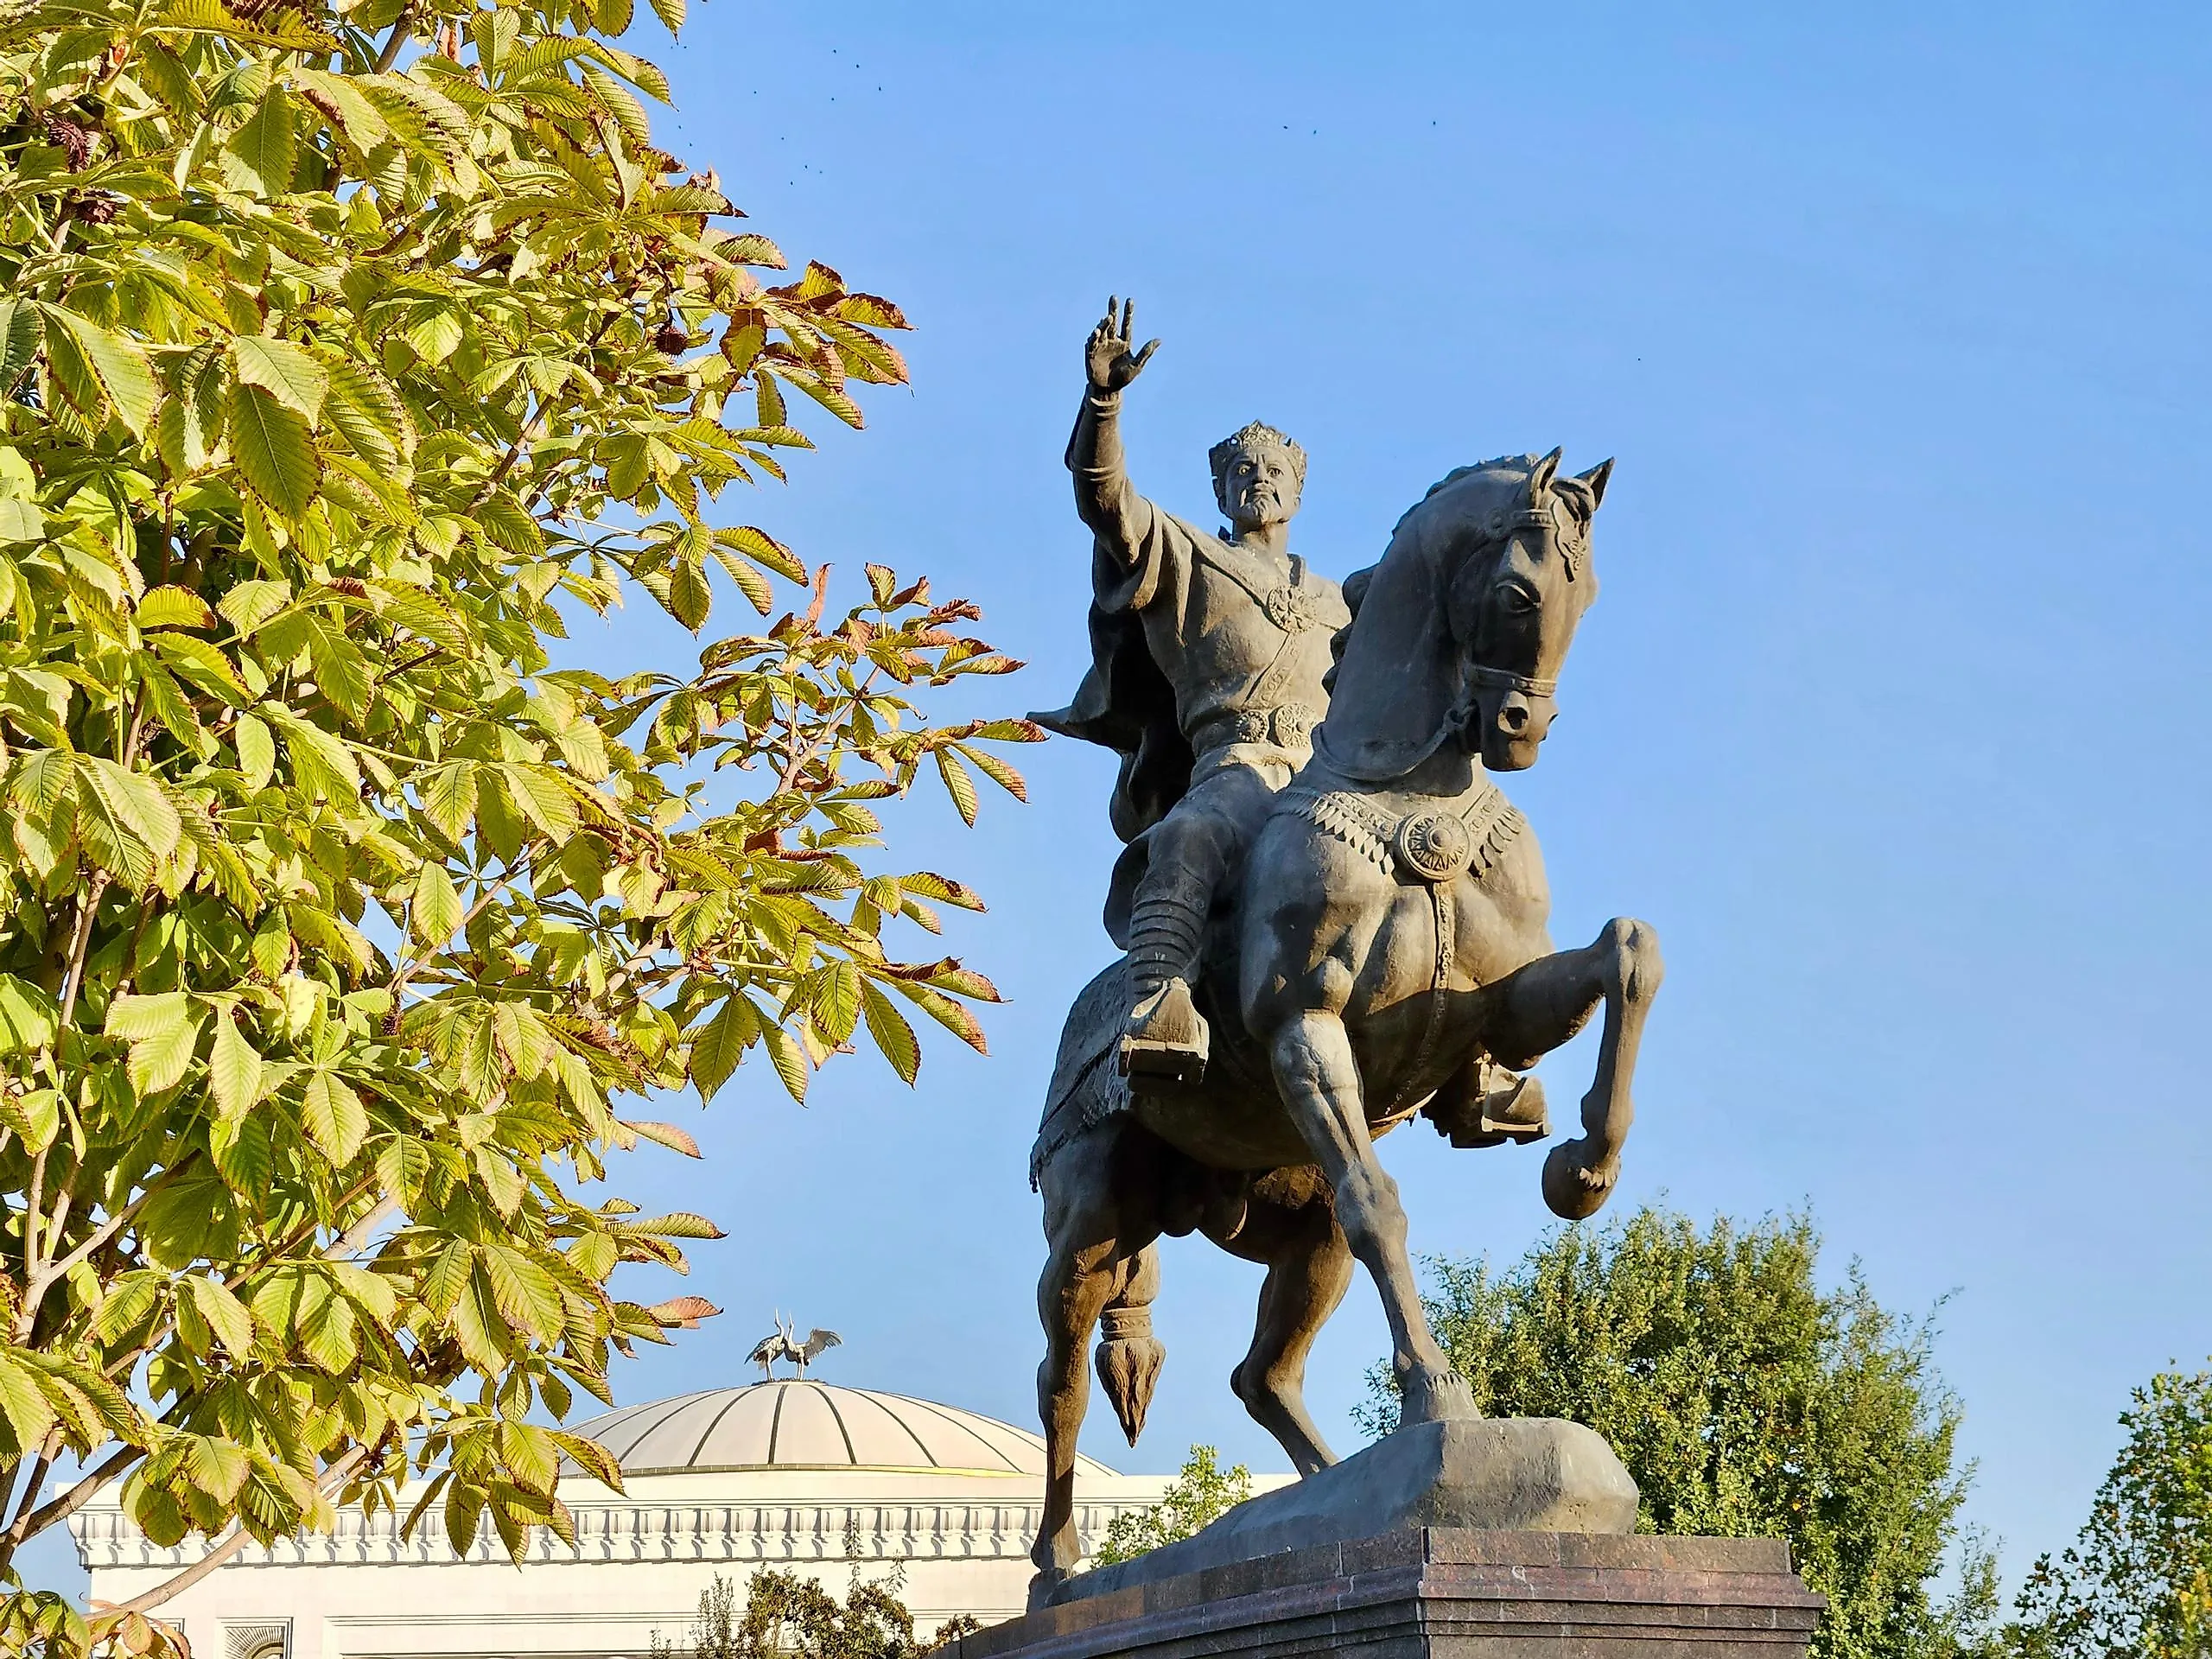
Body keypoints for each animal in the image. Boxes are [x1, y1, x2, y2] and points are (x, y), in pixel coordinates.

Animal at [1021, 451, 1663, 1601]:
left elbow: (1629, 952)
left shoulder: (1498, 1005)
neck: (1413, 792)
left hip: (1289, 1225)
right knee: (1062, 1370)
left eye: (1587, 595)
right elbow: (1381, 1204)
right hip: (1091, 1218)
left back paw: (1319, 1494)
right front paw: (1441, 1398)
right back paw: (1057, 1566)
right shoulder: (1305, 1030)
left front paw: (1583, 1169)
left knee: (1260, 1374)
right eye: (1517, 593)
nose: (1521, 731)